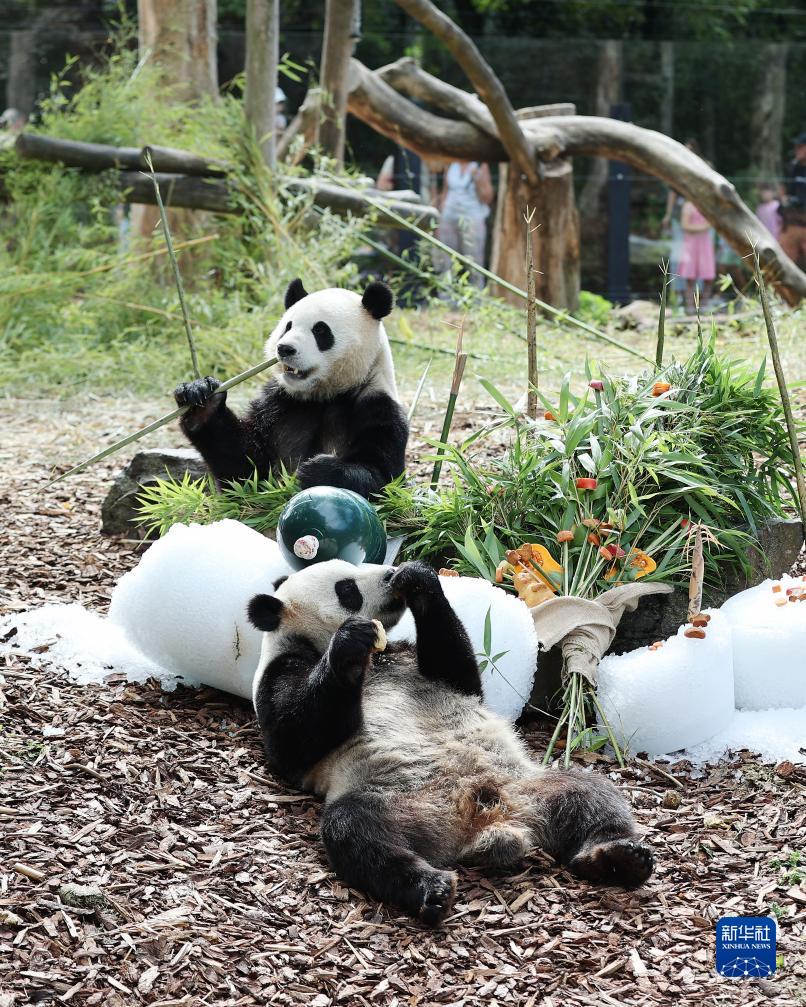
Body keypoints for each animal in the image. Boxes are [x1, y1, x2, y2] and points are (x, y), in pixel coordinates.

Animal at [173, 277, 407, 497]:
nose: (285, 348)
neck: (325, 394)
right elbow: (245, 471)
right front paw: (202, 400)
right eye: (288, 326)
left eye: (320, 330)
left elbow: (384, 478)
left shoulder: (377, 406)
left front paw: (316, 470)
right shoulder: (277, 404)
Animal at [249, 559, 652, 926]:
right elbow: (294, 738)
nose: (389, 574)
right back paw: (431, 888)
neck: (378, 658)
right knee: (357, 831)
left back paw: (619, 857)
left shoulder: (415, 657)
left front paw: (417, 579)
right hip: (399, 801)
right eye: (346, 589)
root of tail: (485, 821)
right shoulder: (281, 673)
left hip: (530, 786)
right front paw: (350, 644)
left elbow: (459, 671)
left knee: (591, 794)